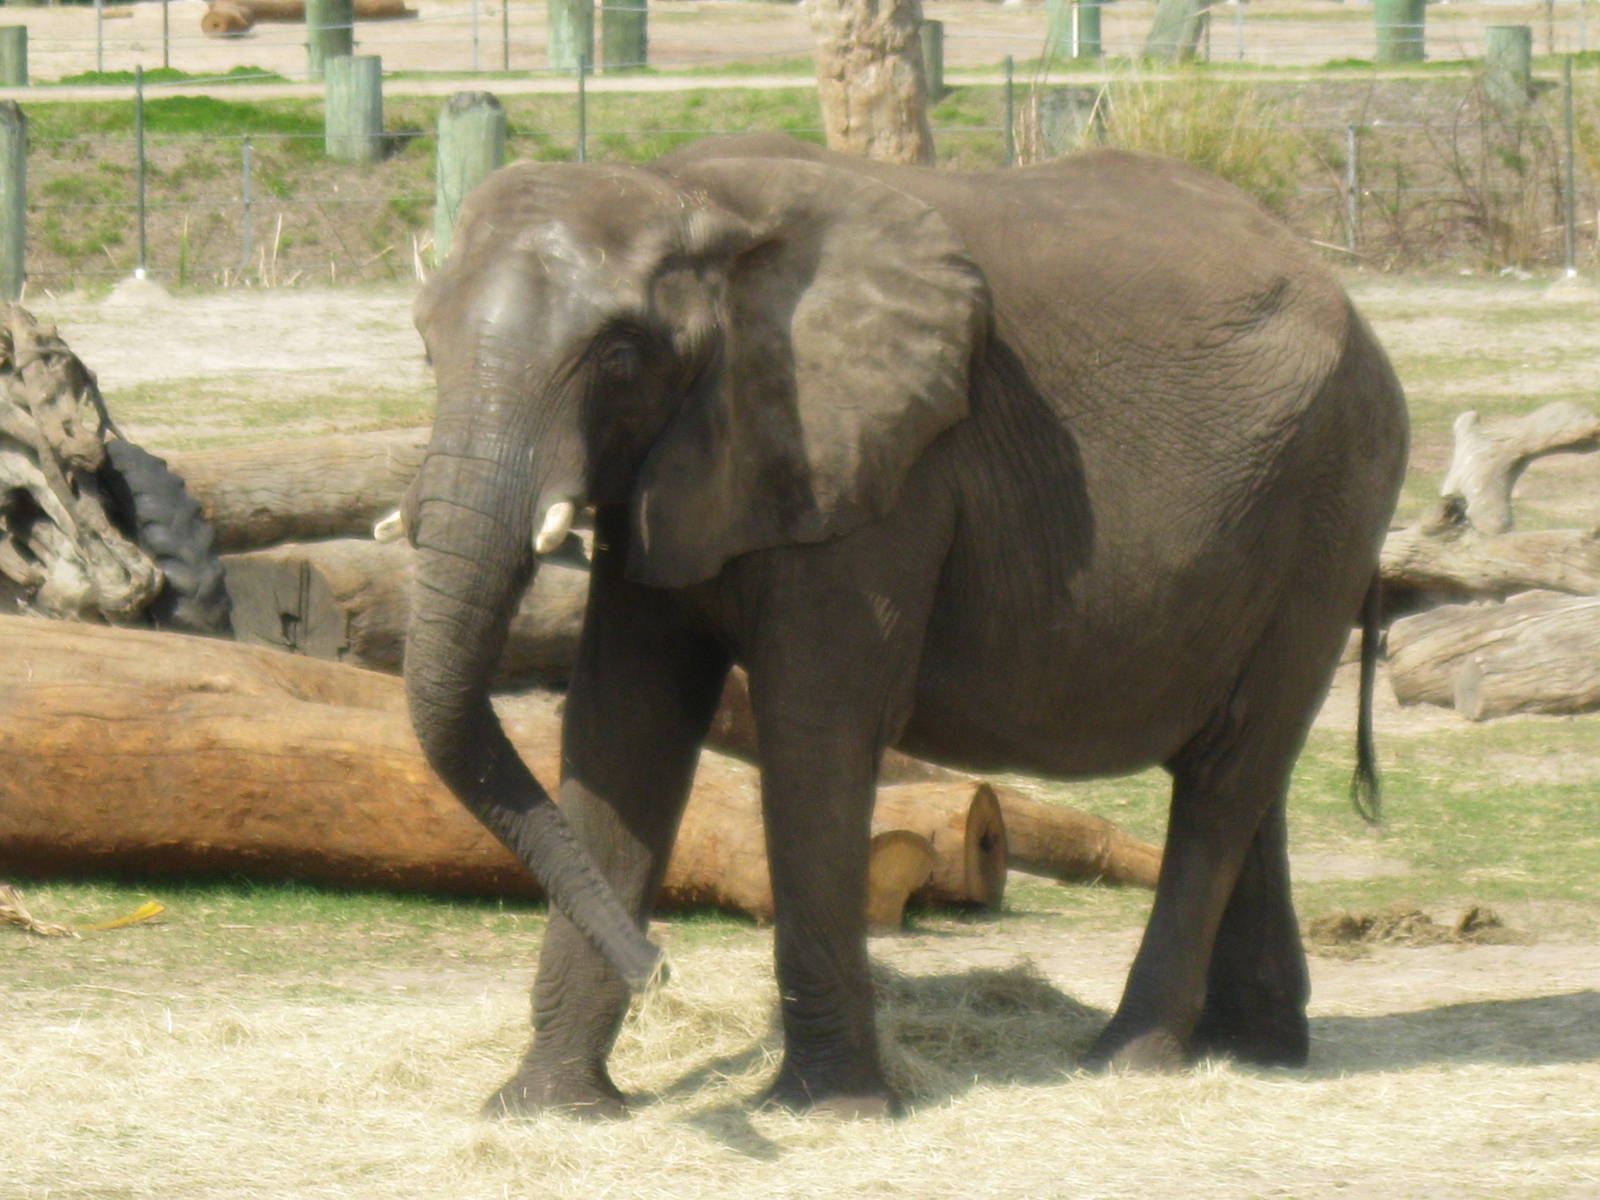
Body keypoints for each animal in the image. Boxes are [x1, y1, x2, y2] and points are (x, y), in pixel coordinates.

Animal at [403, 132, 1409, 1118]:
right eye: (424, 345)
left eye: (620, 353)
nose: (661, 970)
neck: (688, 195)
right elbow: (624, 726)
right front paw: (543, 1109)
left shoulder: (875, 476)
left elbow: (818, 727)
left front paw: (825, 1112)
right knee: (1246, 768)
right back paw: (1254, 1052)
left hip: (1334, 498)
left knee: (1224, 778)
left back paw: (1129, 1060)